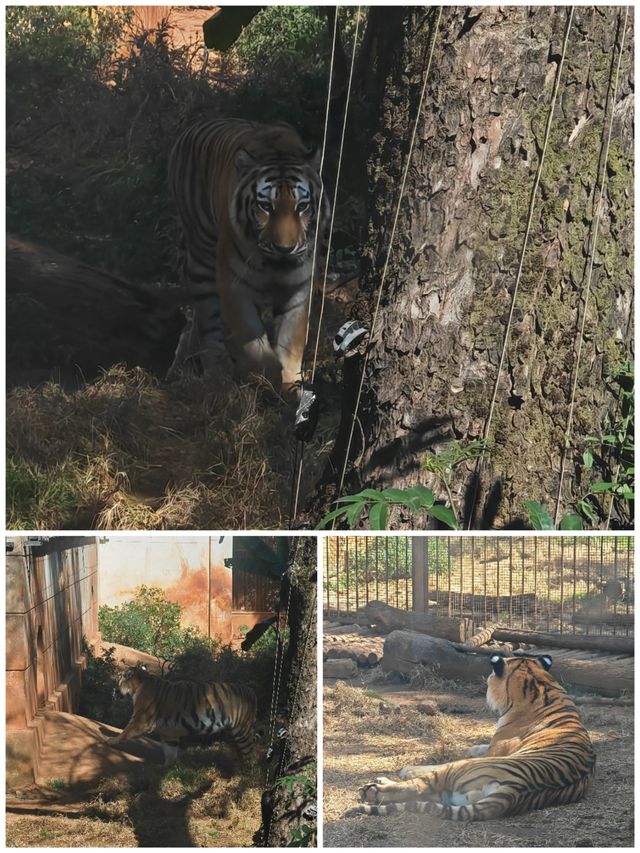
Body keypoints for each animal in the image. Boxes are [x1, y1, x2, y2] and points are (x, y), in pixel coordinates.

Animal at [107, 660, 258, 764]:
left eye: (118, 679)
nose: (113, 691)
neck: (140, 683)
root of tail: (251, 691)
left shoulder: (141, 720)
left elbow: (126, 731)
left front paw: (112, 740)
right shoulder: (169, 733)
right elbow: (170, 752)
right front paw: (165, 769)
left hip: (241, 731)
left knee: (250, 752)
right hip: (229, 732)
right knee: (239, 750)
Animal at [169, 116, 330, 390]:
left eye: (302, 207)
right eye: (265, 206)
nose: (284, 249)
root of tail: (190, 128)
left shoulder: (299, 288)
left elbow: (291, 343)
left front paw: (290, 387)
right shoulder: (235, 284)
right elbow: (253, 344)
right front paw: (264, 379)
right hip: (202, 259)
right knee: (207, 323)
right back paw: (215, 374)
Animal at [348, 656, 596, 824]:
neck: (540, 685)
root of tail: (516, 789)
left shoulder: (494, 750)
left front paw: (407, 770)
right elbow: (481, 746)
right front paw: (473, 746)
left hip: (458, 771)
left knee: (419, 786)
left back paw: (376, 786)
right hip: (458, 795)